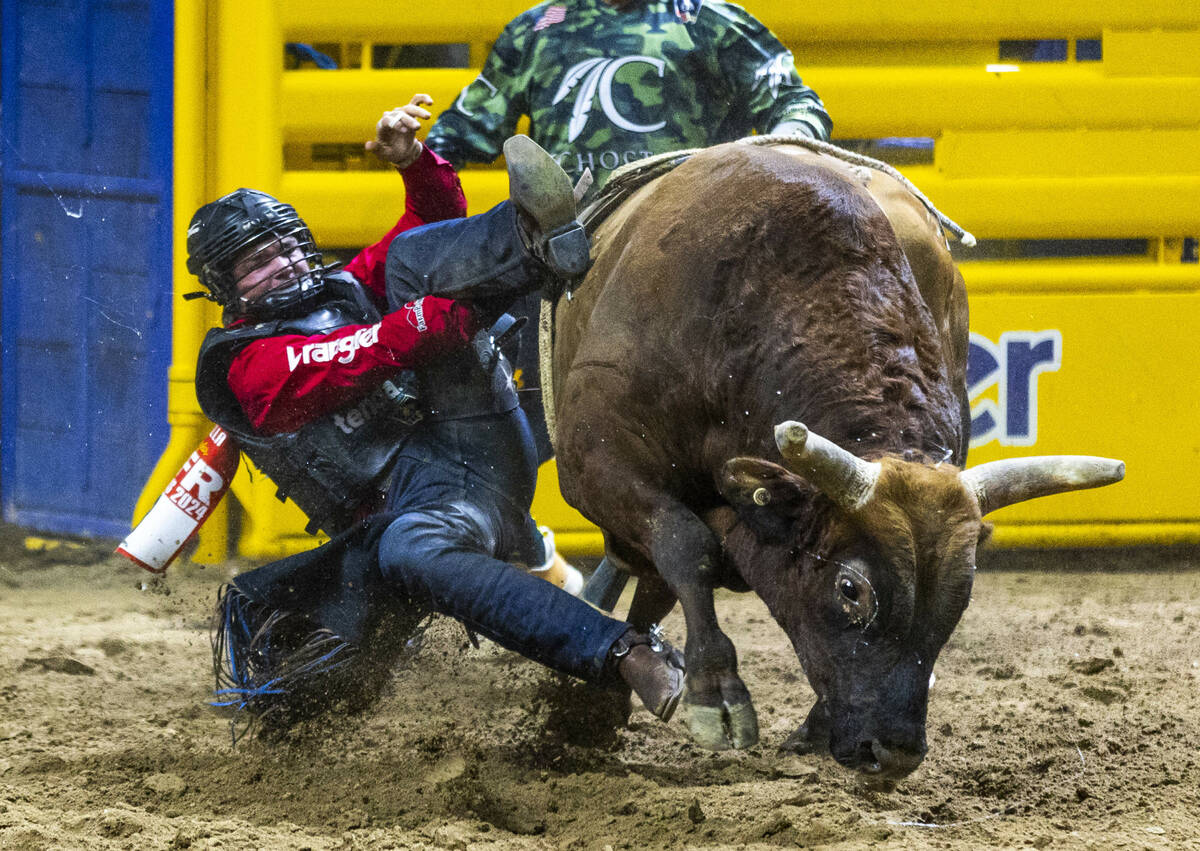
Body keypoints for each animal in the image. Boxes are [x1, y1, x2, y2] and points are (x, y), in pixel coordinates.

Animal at [547, 139, 1123, 781]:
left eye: (962, 592)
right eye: (852, 589)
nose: (893, 751)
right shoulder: (593, 462)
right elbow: (683, 544)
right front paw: (714, 691)